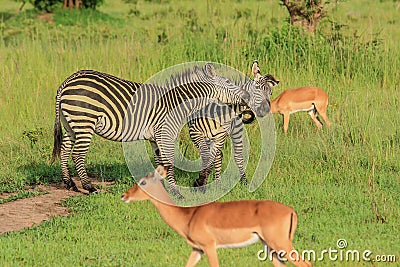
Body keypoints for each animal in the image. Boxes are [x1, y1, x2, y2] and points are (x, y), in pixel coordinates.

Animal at [52, 63, 253, 197]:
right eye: (228, 82)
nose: (248, 96)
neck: (177, 102)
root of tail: (67, 81)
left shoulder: (155, 138)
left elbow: (160, 163)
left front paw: (161, 189)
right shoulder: (165, 134)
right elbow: (168, 163)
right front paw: (176, 193)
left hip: (71, 124)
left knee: (64, 150)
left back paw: (69, 183)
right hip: (84, 121)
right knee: (77, 155)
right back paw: (89, 187)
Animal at [187, 61, 278, 189]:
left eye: (271, 93)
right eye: (257, 88)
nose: (265, 109)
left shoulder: (226, 134)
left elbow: (230, 157)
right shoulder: (197, 132)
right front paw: (201, 181)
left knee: (224, 156)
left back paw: (222, 182)